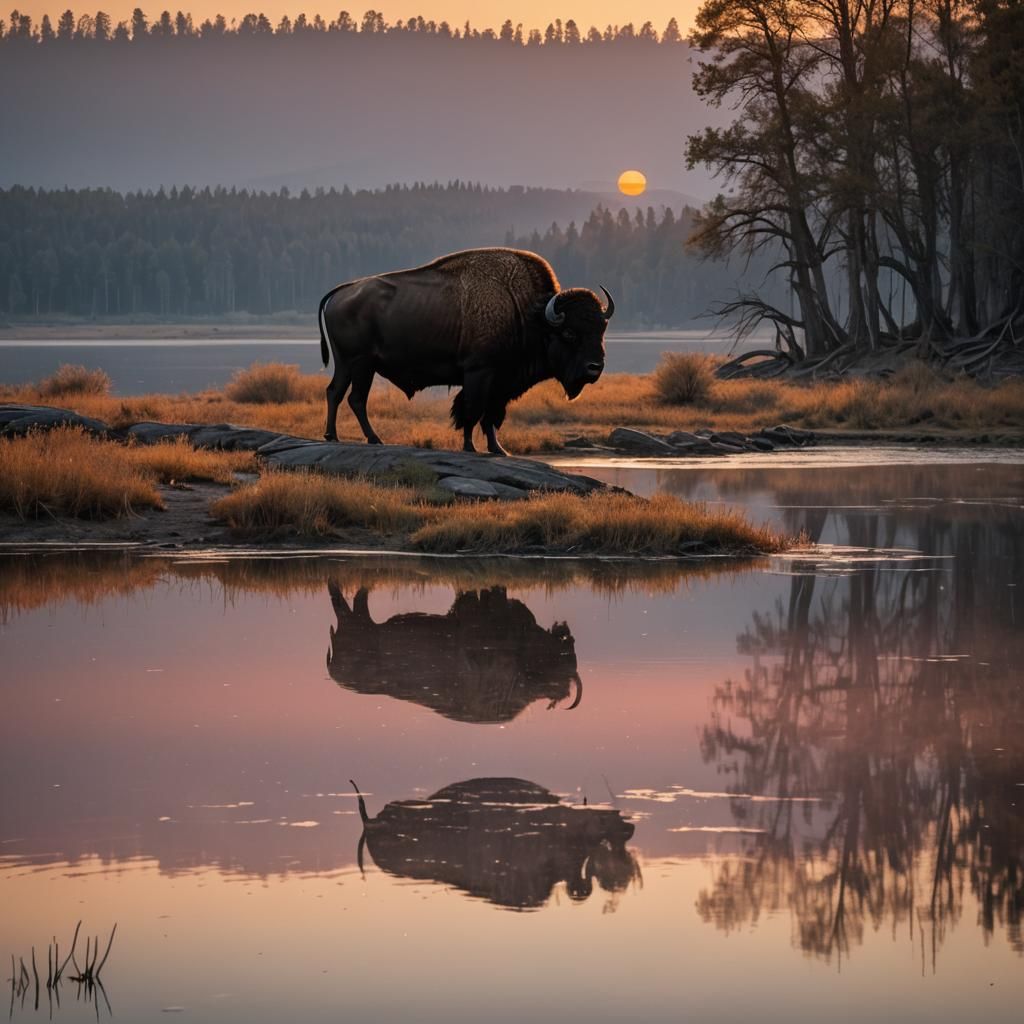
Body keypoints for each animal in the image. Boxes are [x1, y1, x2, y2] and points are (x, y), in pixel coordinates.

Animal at [318, 247, 614, 455]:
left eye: (601, 330)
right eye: (570, 333)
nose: (595, 368)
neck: (528, 314)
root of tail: (342, 291)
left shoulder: (501, 384)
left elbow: (491, 417)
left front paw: (499, 450)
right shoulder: (479, 373)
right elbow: (472, 411)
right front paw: (470, 447)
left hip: (346, 363)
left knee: (335, 392)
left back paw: (332, 435)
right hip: (362, 364)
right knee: (356, 398)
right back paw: (374, 439)